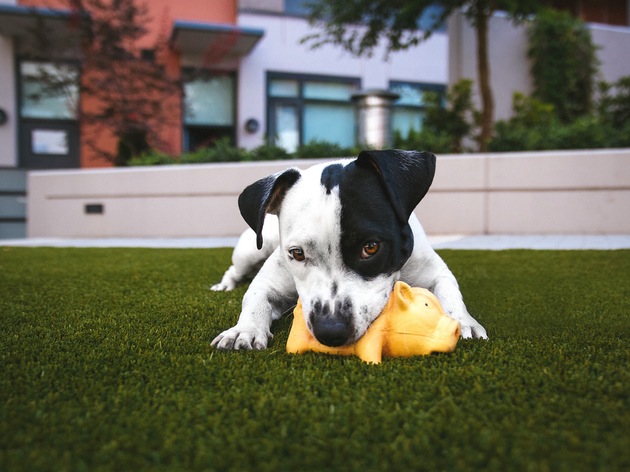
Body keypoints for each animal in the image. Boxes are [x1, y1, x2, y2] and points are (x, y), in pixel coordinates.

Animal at [212, 150, 488, 350]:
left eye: (371, 247)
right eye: (297, 253)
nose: (330, 331)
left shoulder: (435, 272)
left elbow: (450, 293)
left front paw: (463, 321)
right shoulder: (268, 282)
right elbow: (255, 299)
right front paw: (244, 330)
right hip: (251, 250)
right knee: (234, 269)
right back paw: (224, 286)